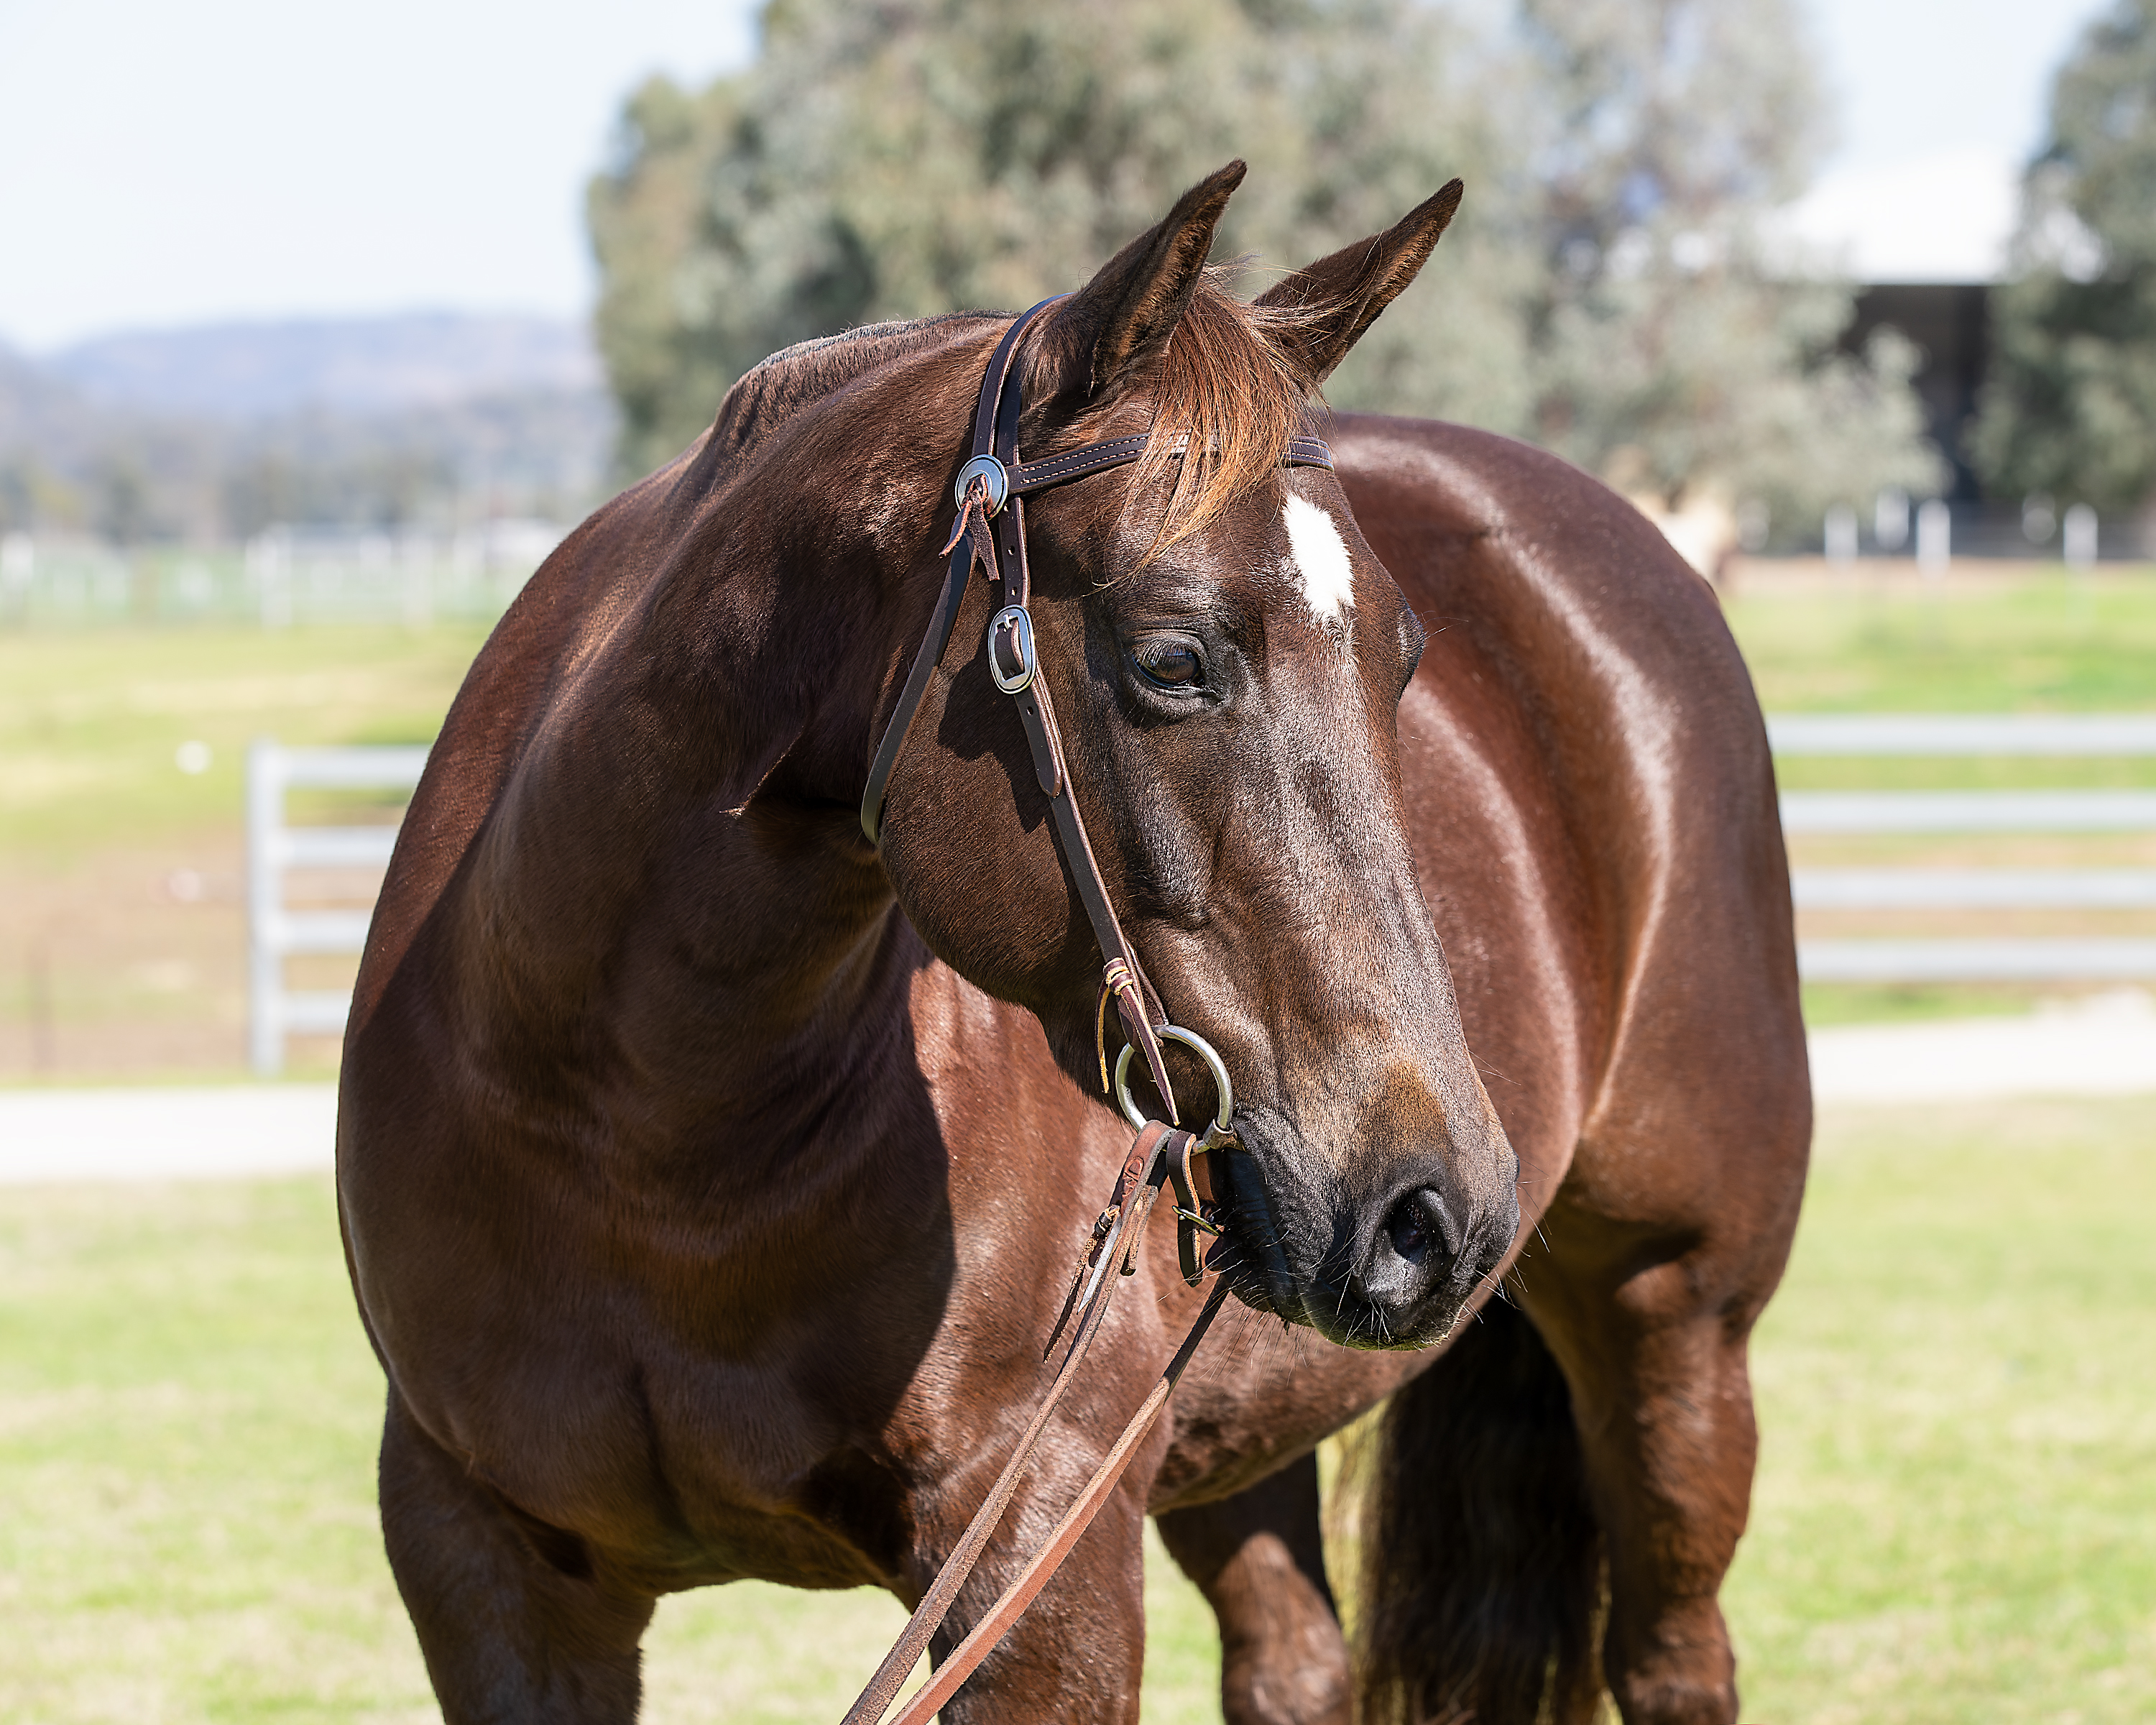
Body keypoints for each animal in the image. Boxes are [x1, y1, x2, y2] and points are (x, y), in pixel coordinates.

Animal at [337, 161, 1809, 1725]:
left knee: (1673, 1655)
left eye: (1405, 660)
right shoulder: (489, 1571)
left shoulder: (1040, 1562)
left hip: (1675, 1326)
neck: (644, 1142)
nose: (1438, 1208)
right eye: (1173, 659)